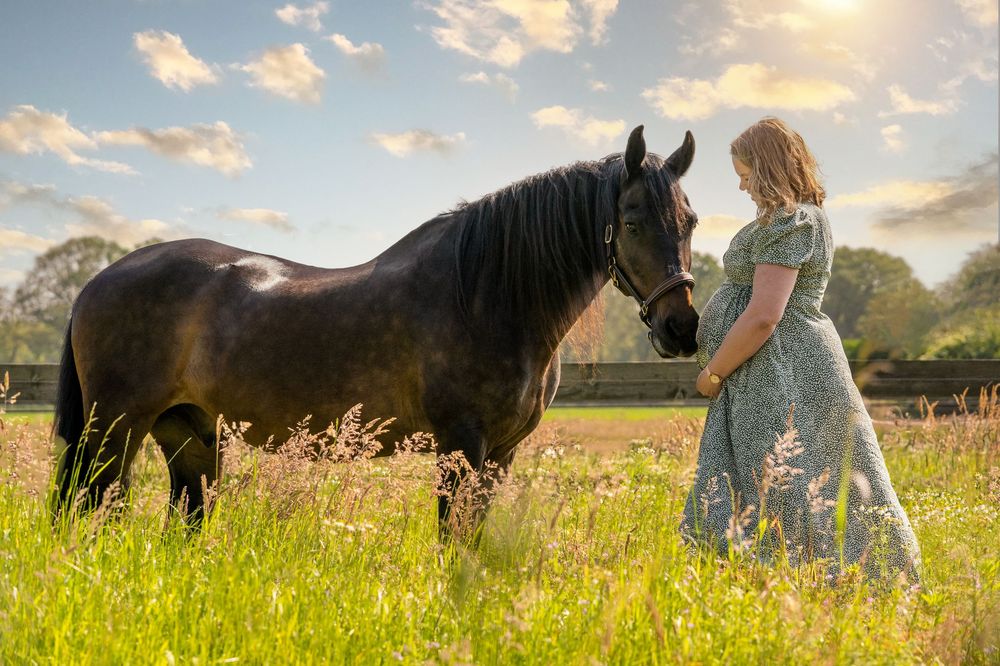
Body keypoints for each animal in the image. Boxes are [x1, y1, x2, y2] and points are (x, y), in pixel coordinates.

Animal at [52, 125, 700, 532]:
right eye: (632, 221)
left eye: (690, 219)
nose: (682, 328)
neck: (486, 295)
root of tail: (95, 283)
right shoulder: (459, 446)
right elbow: (452, 542)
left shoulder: (500, 455)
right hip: (114, 428)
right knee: (85, 506)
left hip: (187, 433)